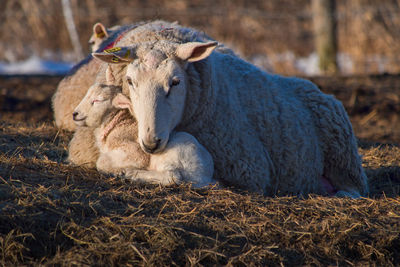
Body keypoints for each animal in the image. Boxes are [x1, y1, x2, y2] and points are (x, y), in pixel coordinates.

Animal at [70, 66, 214, 188]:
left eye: (98, 100)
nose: (74, 114)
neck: (118, 124)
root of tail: (204, 176)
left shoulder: (135, 153)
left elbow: (100, 162)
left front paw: (118, 170)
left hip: (171, 155)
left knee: (173, 177)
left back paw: (131, 174)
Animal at [94, 24, 368, 197]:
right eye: (130, 81)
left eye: (176, 82)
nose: (151, 143)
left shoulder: (252, 171)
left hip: (344, 161)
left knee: (355, 190)